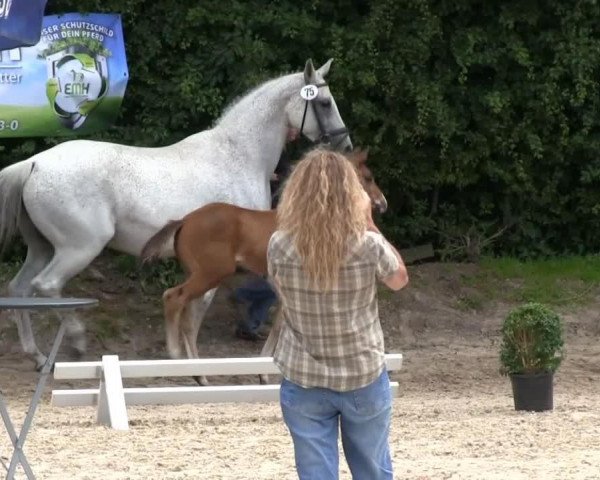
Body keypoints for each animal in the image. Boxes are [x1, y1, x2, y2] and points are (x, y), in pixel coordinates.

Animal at [0, 58, 352, 370]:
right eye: (324, 103)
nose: (345, 144)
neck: (238, 155)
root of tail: (34, 164)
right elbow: (198, 310)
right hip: (79, 248)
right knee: (46, 286)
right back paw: (75, 340)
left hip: (43, 248)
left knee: (20, 289)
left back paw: (37, 356)